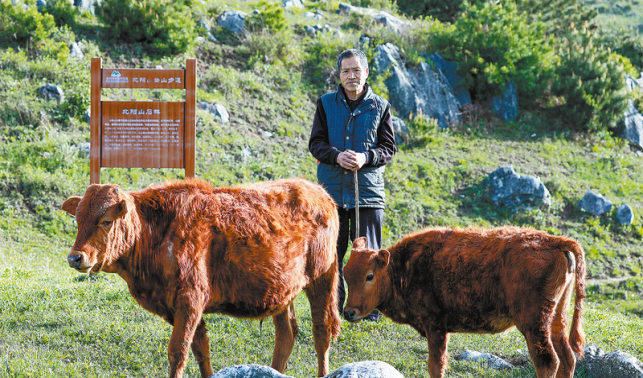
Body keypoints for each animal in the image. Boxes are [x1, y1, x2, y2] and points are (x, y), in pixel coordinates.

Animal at [61, 178, 342, 378]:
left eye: (106, 221)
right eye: (78, 219)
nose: (75, 257)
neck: (157, 231)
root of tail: (319, 191)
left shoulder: (190, 299)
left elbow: (178, 350)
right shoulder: (177, 306)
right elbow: (200, 349)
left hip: (322, 280)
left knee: (321, 331)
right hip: (282, 292)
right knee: (286, 334)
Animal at [344, 227, 588, 378]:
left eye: (369, 276)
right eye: (345, 275)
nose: (348, 312)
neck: (404, 267)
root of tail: (555, 242)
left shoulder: (435, 326)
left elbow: (436, 365)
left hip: (534, 324)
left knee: (548, 361)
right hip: (556, 317)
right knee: (567, 358)